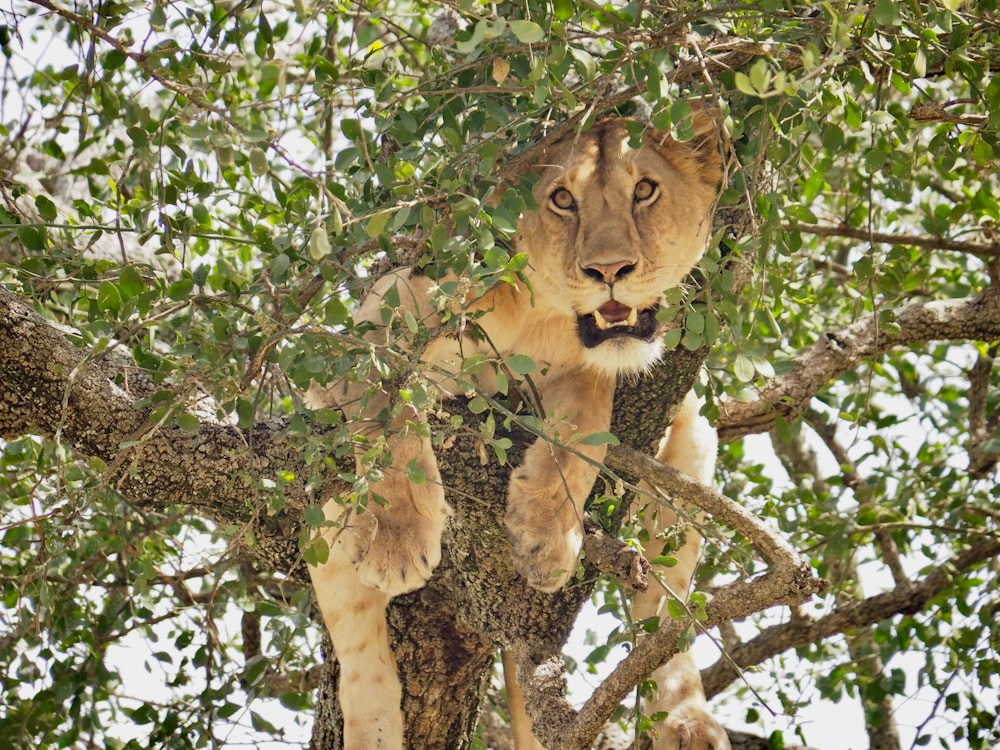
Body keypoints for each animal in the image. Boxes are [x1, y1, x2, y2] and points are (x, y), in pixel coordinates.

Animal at [304, 107, 728, 750]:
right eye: (563, 200)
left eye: (645, 191)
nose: (609, 270)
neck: (543, 313)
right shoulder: (375, 324)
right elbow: (390, 407)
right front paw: (398, 535)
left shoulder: (587, 371)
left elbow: (581, 435)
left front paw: (544, 539)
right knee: (358, 647)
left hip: (694, 440)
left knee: (663, 606)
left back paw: (687, 722)